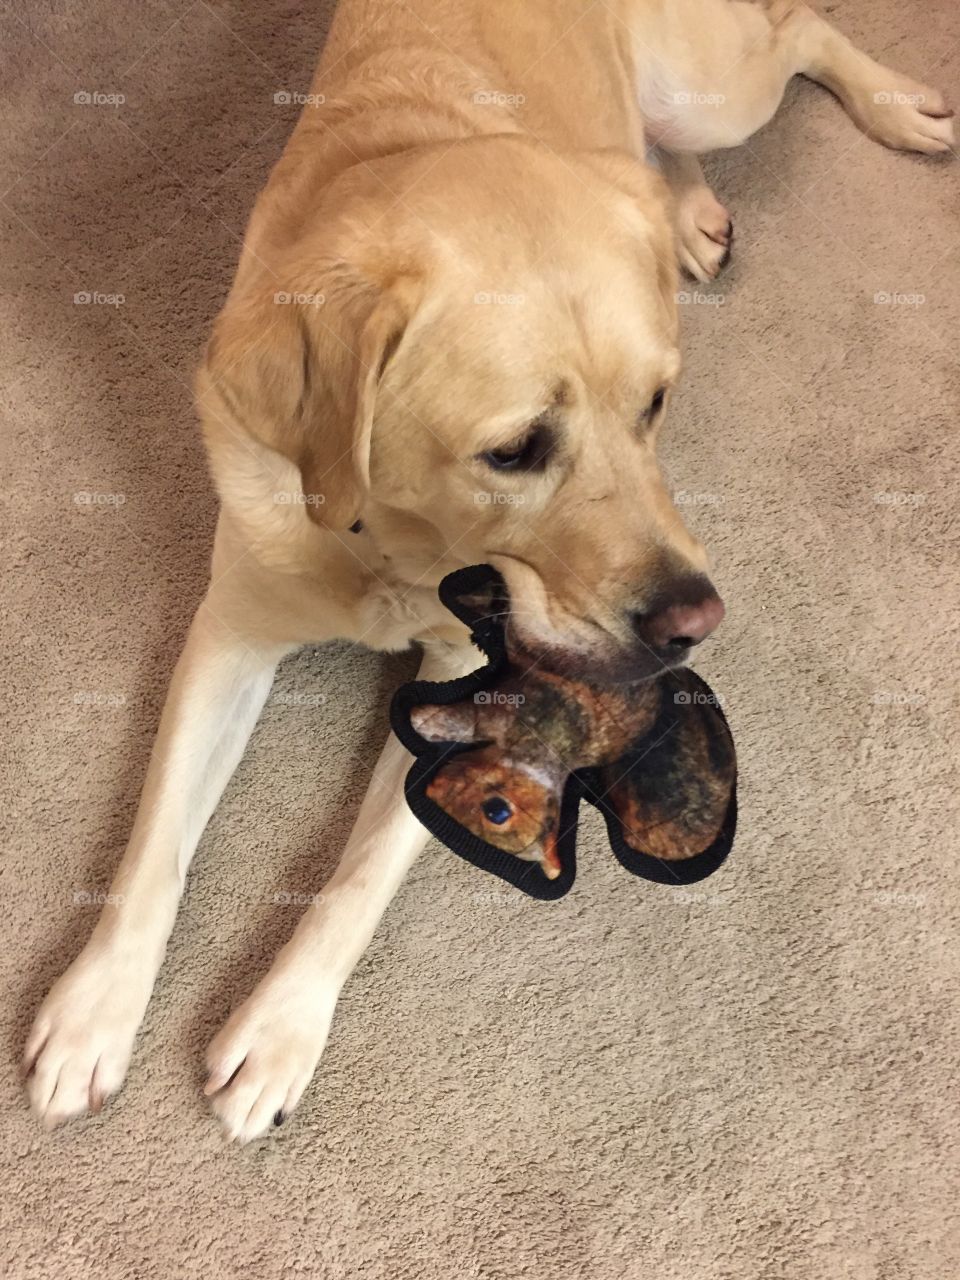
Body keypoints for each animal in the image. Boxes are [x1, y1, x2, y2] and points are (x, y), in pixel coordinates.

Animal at [24, 0, 957, 1141]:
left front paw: (279, 1030)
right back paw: (687, 211)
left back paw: (886, 108)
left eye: (655, 406)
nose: (696, 620)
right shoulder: (228, 634)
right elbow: (154, 846)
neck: (389, 545)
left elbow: (356, 881)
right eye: (513, 451)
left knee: (795, 35)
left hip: (713, 87)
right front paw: (94, 1008)